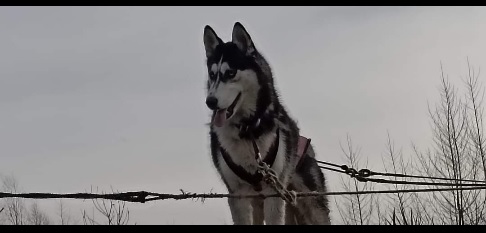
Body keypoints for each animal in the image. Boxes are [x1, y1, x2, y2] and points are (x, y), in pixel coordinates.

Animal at [201, 22, 330, 226]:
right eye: (212, 75)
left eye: (230, 72)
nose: (210, 101)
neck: (248, 131)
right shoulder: (238, 195)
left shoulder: (274, 194)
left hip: (310, 204)